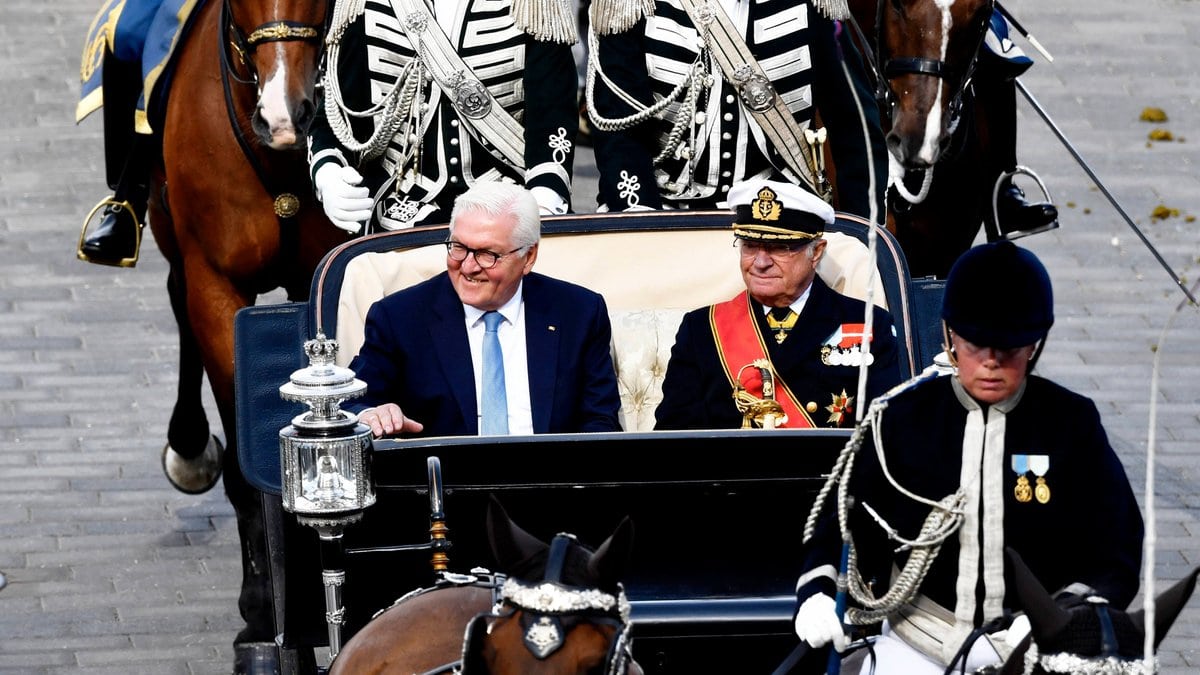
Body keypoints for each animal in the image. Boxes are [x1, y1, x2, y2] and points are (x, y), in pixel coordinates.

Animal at [144, 0, 345, 658]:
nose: (283, 116)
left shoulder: (318, 276)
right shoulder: (214, 285)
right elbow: (244, 463)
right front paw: (262, 610)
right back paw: (187, 444)